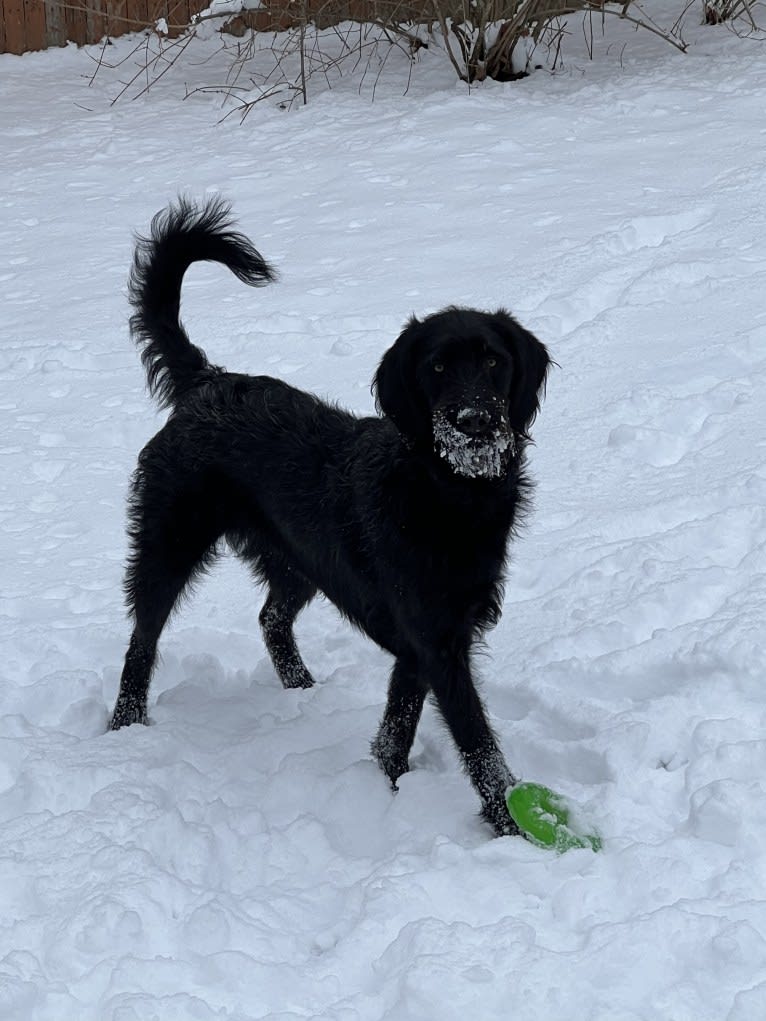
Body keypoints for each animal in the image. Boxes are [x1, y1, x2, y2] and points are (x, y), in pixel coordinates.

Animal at [109, 199, 551, 837]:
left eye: (494, 360)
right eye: (439, 367)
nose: (473, 423)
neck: (444, 493)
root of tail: (207, 382)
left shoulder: (427, 640)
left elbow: (397, 725)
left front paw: (389, 785)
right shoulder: (438, 642)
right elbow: (478, 743)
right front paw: (512, 825)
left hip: (300, 559)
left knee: (270, 616)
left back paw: (301, 689)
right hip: (169, 542)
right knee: (141, 640)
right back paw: (125, 727)